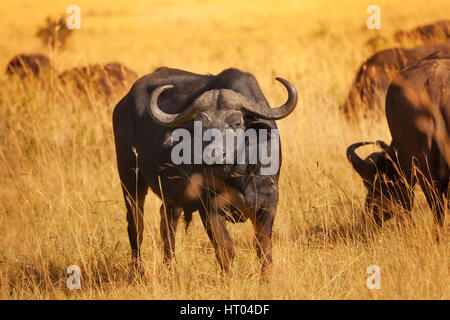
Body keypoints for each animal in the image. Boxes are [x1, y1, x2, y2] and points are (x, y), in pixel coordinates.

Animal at [112, 67, 298, 278]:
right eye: (201, 126)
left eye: (236, 123)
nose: (215, 154)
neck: (237, 175)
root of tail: (123, 104)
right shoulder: (208, 207)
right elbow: (225, 247)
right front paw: (230, 278)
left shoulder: (268, 202)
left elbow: (263, 245)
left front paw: (266, 278)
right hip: (130, 177)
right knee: (136, 224)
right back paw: (138, 272)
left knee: (167, 222)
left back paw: (171, 267)